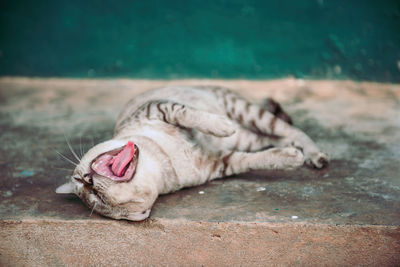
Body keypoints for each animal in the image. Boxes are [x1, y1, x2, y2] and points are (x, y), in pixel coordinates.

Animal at [56, 86, 328, 222]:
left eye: (80, 179)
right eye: (97, 199)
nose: (89, 181)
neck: (162, 158)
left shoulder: (158, 108)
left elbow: (190, 115)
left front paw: (220, 126)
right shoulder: (222, 163)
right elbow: (257, 160)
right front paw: (290, 158)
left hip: (245, 111)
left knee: (286, 128)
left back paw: (315, 153)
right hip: (248, 138)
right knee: (274, 138)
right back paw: (301, 152)